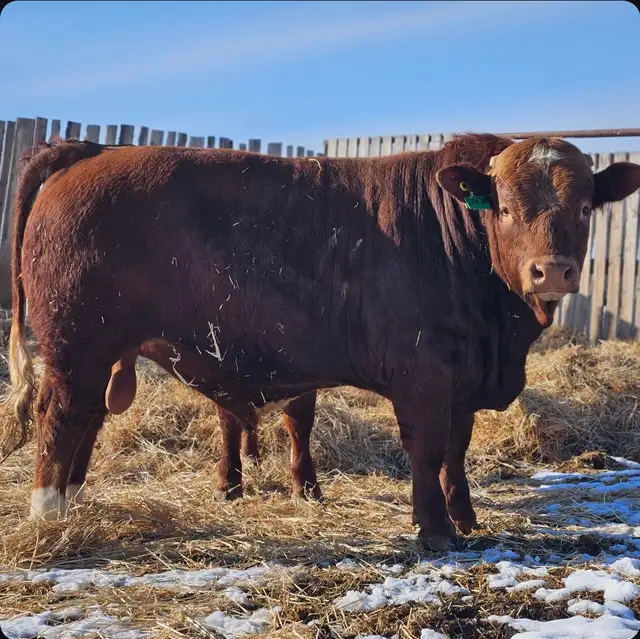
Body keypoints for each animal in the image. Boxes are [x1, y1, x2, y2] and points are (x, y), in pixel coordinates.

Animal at [7, 134, 640, 551]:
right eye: (505, 208)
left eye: (586, 207)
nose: (551, 271)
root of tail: (92, 151)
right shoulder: (424, 371)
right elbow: (428, 449)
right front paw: (433, 530)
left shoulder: (465, 374)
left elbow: (456, 452)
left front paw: (465, 519)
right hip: (76, 345)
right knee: (59, 416)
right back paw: (47, 515)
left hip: (100, 351)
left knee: (87, 419)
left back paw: (74, 500)